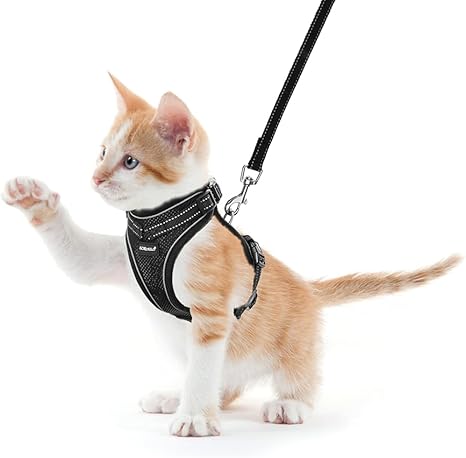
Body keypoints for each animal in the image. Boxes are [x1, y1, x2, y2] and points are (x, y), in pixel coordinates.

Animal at [2, 74, 460, 437]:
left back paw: (290, 403)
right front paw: (33, 198)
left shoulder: (212, 311)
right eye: (101, 153)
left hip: (294, 342)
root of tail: (308, 289)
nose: (95, 178)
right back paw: (176, 395)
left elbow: (204, 367)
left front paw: (196, 419)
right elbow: (79, 261)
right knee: (222, 380)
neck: (158, 227)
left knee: (298, 373)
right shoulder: (113, 261)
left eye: (130, 161)